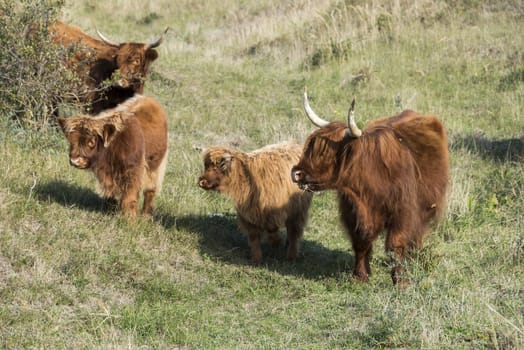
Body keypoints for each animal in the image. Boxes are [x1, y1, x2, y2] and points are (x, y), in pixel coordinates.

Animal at [288, 91, 448, 284]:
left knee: (417, 234)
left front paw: (401, 282)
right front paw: (360, 276)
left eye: (326, 153)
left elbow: (396, 246)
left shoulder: (402, 213)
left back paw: (414, 258)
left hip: (425, 207)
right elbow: (361, 242)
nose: (296, 173)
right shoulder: (353, 212)